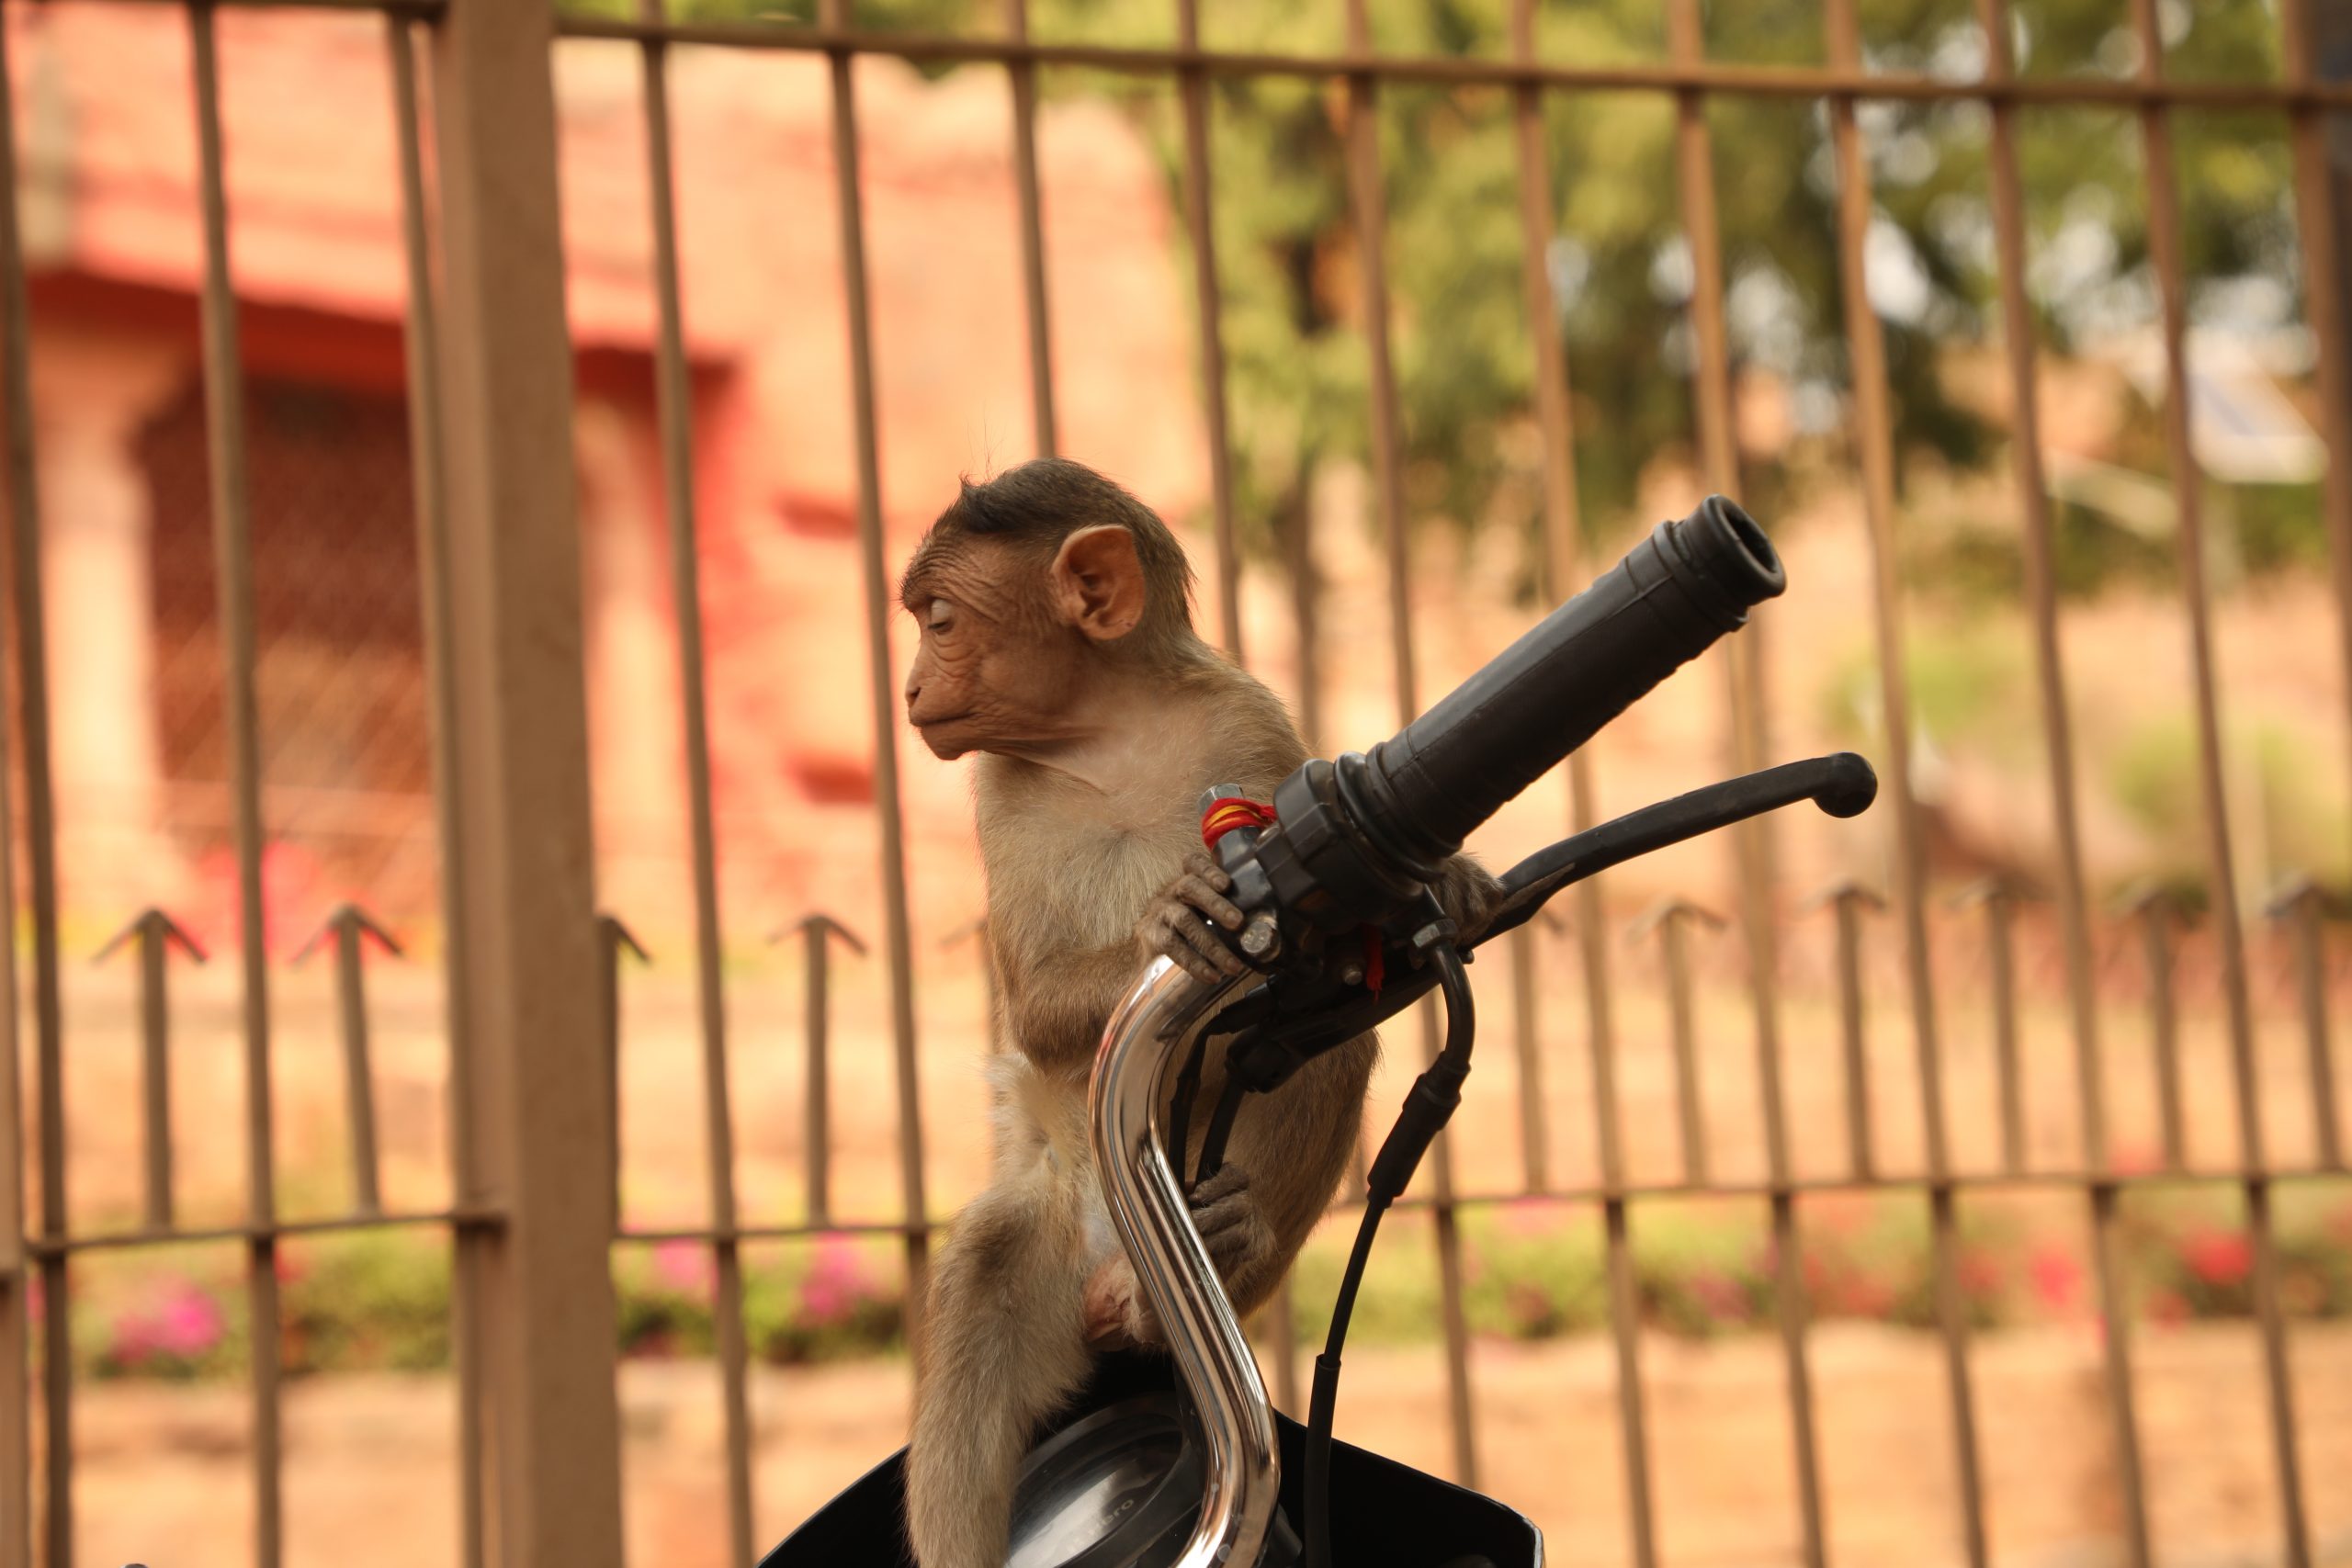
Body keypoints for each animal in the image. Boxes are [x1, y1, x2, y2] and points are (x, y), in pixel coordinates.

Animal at [888, 456, 1496, 1568]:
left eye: (939, 620)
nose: (911, 686)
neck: (1110, 736)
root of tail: (1115, 1272)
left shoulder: (1245, 721)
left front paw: (1446, 880)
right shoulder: (1001, 788)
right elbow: (1036, 1006)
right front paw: (1173, 919)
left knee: (1323, 1052)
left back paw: (1226, 1241)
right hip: (1056, 1242)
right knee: (990, 1272)